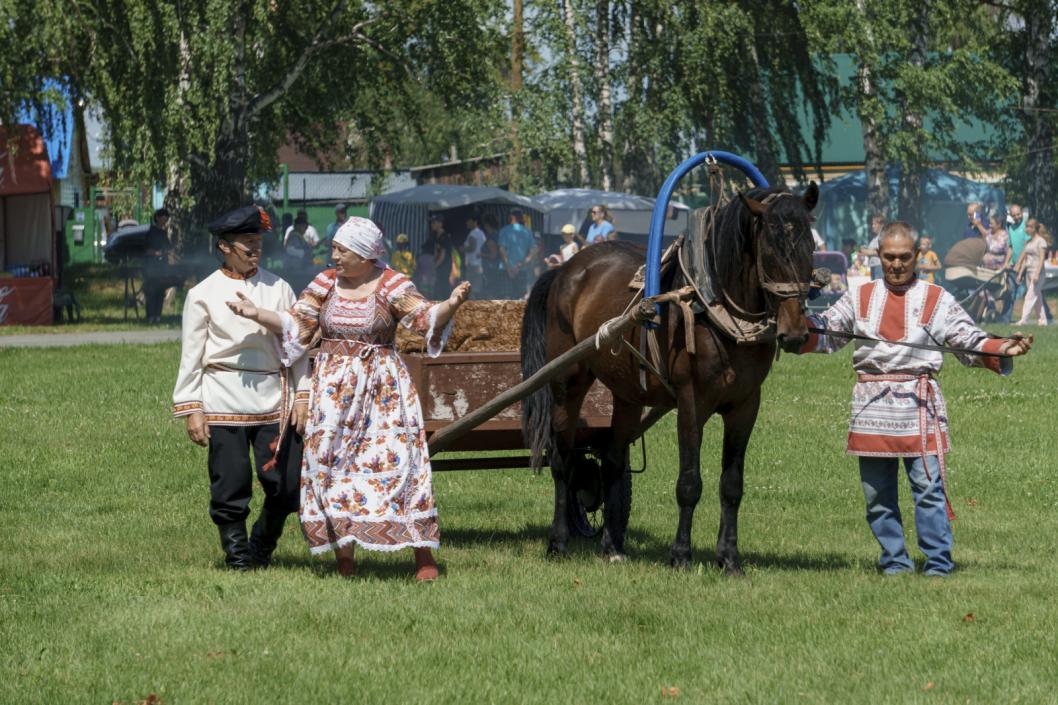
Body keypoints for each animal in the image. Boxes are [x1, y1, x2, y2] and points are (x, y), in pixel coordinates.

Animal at [520, 185, 816, 571]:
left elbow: (732, 485)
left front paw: (729, 558)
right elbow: (689, 482)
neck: (715, 310)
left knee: (612, 461)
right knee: (563, 461)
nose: (795, 334)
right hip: (567, 383)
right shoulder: (691, 403)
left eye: (810, 246)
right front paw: (681, 555)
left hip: (627, 393)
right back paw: (558, 542)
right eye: (769, 249)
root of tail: (565, 270)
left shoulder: (746, 405)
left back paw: (613, 546)